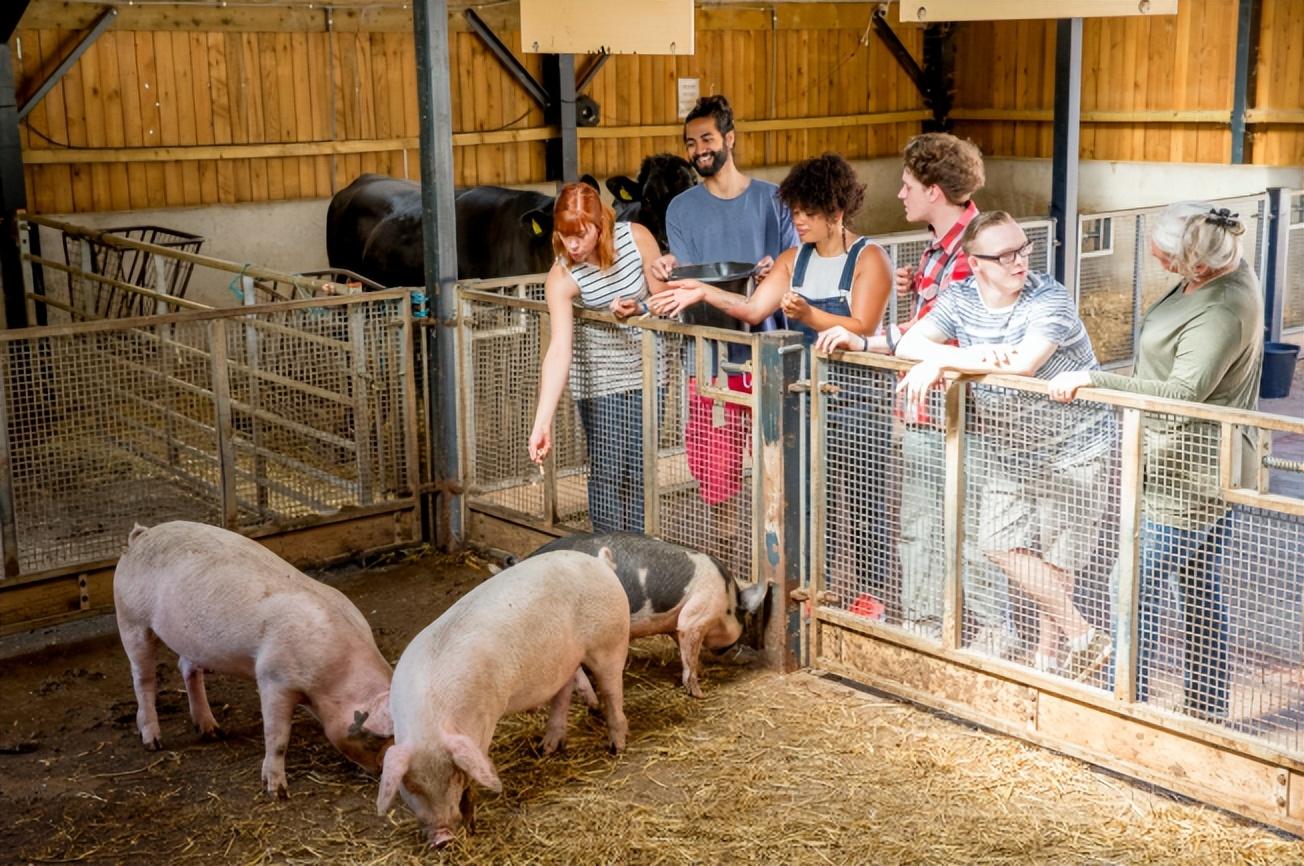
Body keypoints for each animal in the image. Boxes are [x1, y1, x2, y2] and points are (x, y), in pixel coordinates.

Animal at [113, 521, 391, 798]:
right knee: (143, 678)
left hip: (190, 640)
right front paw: (277, 791)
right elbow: (277, 736)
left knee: (186, 668)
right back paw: (153, 742)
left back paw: (212, 730)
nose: (383, 771)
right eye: (377, 736)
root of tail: (142, 535)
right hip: (130, 620)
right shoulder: (272, 678)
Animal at [378, 550, 631, 850]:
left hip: (611, 643)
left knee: (612, 692)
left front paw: (472, 825)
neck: (430, 717)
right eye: (411, 786)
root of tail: (600, 563)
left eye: (453, 775)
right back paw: (545, 749)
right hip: (564, 661)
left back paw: (616, 748)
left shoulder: (483, 720)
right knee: (563, 691)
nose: (442, 838)